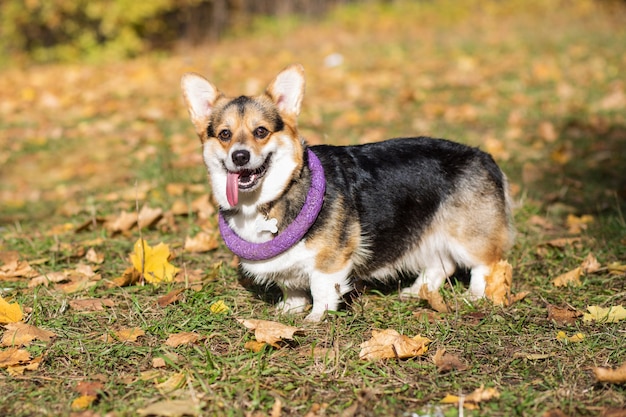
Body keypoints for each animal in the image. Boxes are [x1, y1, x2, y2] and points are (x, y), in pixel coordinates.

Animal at [180, 64, 512, 322]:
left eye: (260, 131)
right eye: (224, 134)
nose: (240, 156)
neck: (268, 200)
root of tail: (484, 156)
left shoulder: (330, 261)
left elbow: (321, 288)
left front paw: (316, 318)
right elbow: (292, 287)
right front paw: (289, 311)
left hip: (469, 235)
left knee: (486, 265)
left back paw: (475, 296)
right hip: (426, 231)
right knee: (440, 263)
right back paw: (418, 291)